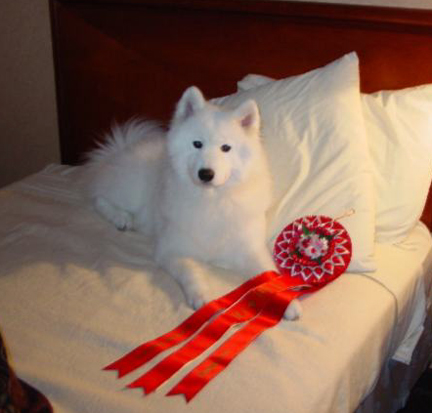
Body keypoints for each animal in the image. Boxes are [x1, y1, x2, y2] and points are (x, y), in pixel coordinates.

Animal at [84, 86, 300, 318]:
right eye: (197, 144)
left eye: (226, 148)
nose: (206, 173)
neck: (211, 200)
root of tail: (122, 149)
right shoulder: (173, 249)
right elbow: (191, 273)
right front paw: (203, 298)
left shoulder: (249, 248)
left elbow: (268, 274)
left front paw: (287, 300)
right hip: (131, 188)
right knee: (99, 196)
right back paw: (120, 217)